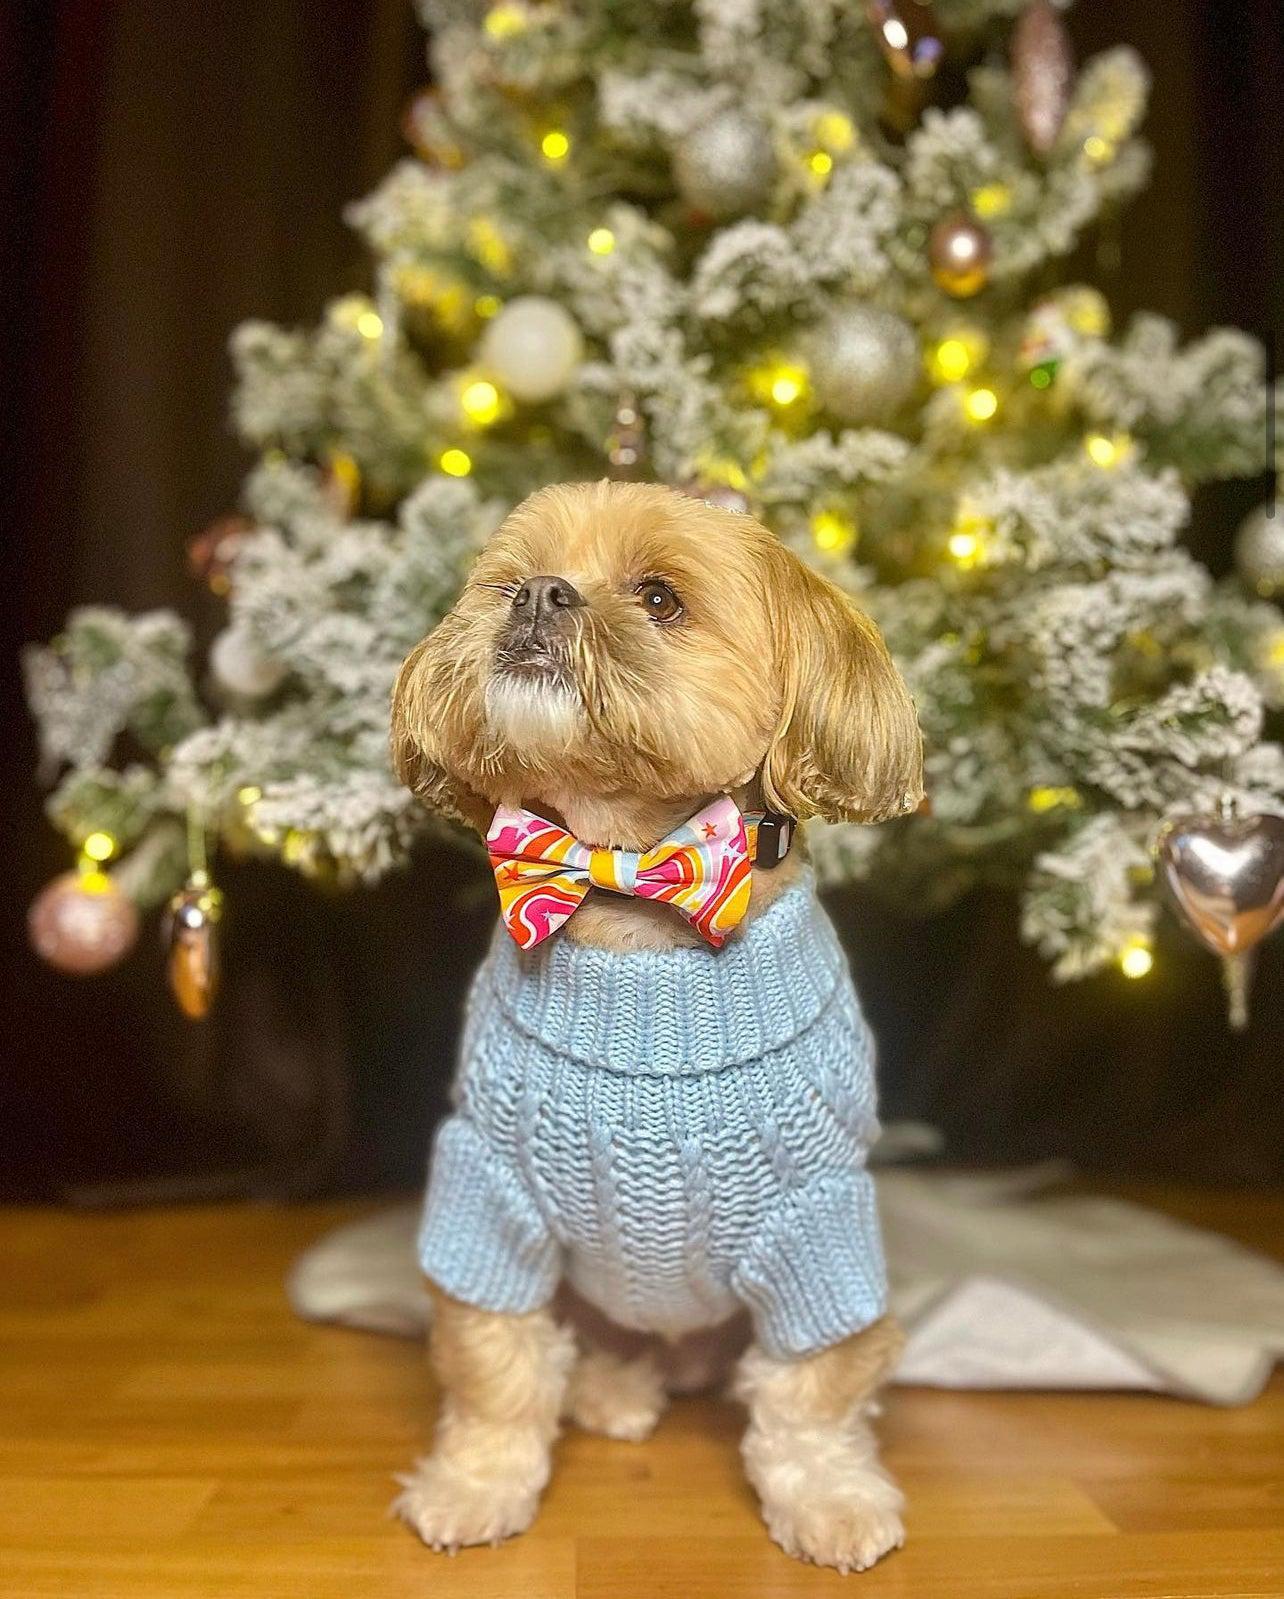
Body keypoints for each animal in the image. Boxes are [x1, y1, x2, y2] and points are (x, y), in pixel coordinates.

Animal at [391, 476, 921, 1573]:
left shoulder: (819, 1218)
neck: (628, 890)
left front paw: (831, 1497)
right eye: (508, 578)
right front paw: (477, 1483)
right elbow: (493, 1362)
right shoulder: (487, 1192)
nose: (538, 595)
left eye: (662, 598)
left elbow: (814, 1388)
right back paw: (610, 1388)